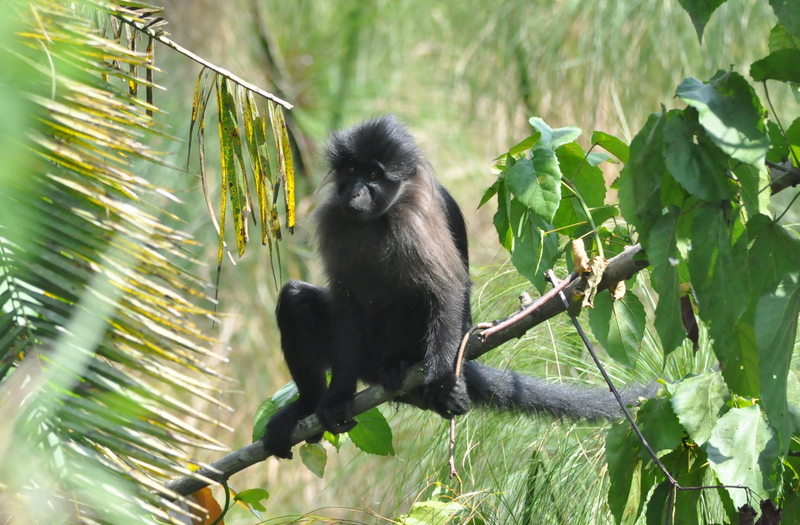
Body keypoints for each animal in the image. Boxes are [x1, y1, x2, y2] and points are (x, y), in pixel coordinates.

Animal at [262, 115, 648, 458]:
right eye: (352, 171)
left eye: (373, 174)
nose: (356, 192)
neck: (376, 221)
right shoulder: (335, 220)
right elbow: (345, 301)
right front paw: (337, 397)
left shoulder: (414, 220)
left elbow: (445, 288)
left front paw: (440, 385)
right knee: (295, 300)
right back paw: (309, 404)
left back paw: (405, 369)